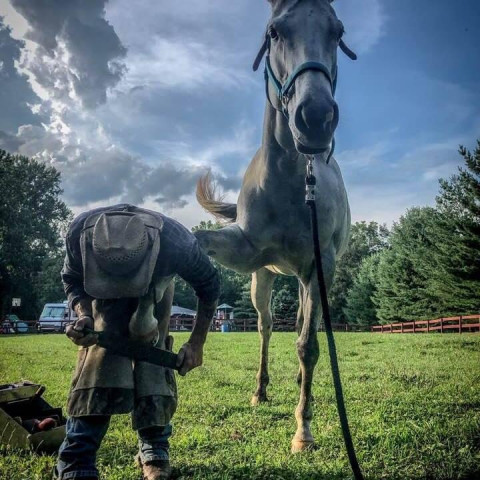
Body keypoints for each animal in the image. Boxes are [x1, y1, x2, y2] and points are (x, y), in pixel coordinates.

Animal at [193, 0, 354, 452]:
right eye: (275, 32)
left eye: (337, 32)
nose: (315, 117)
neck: (289, 178)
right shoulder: (246, 253)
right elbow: (197, 242)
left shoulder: (319, 267)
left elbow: (309, 344)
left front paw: (304, 430)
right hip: (262, 279)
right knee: (265, 327)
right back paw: (260, 389)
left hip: (304, 279)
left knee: (300, 326)